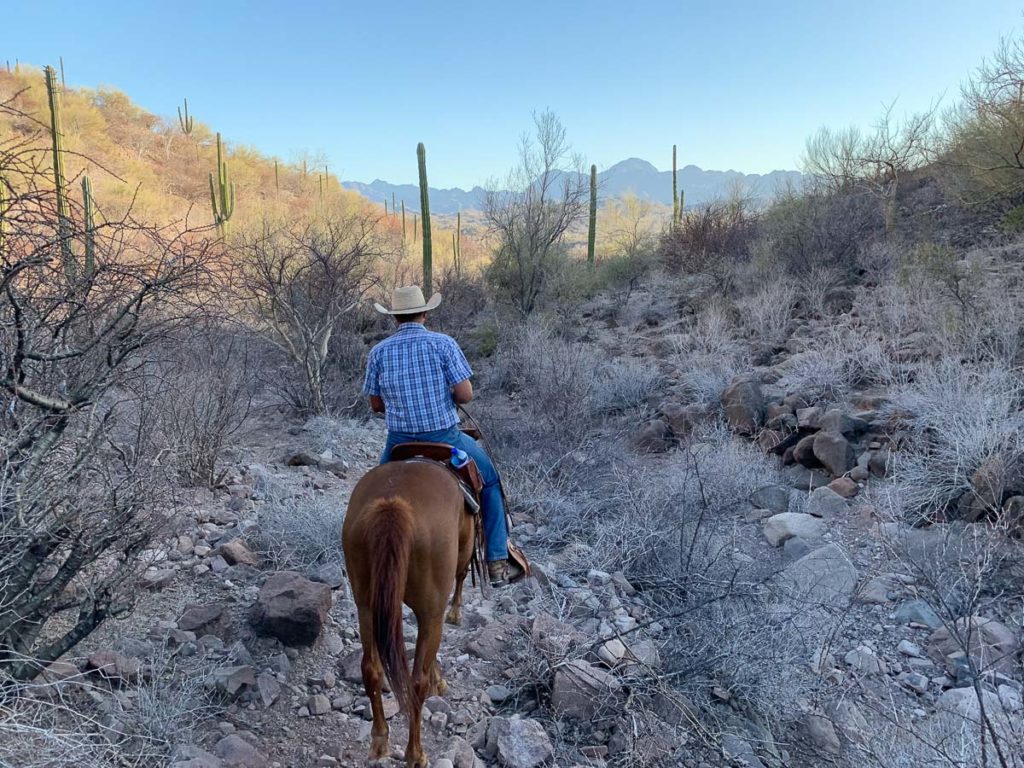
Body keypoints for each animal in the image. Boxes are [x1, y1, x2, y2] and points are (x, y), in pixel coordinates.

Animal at [342, 460, 473, 765]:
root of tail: (394, 505)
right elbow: (461, 576)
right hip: (429, 608)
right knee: (416, 683)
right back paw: (416, 754)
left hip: (366, 605)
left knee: (371, 669)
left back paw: (380, 741)